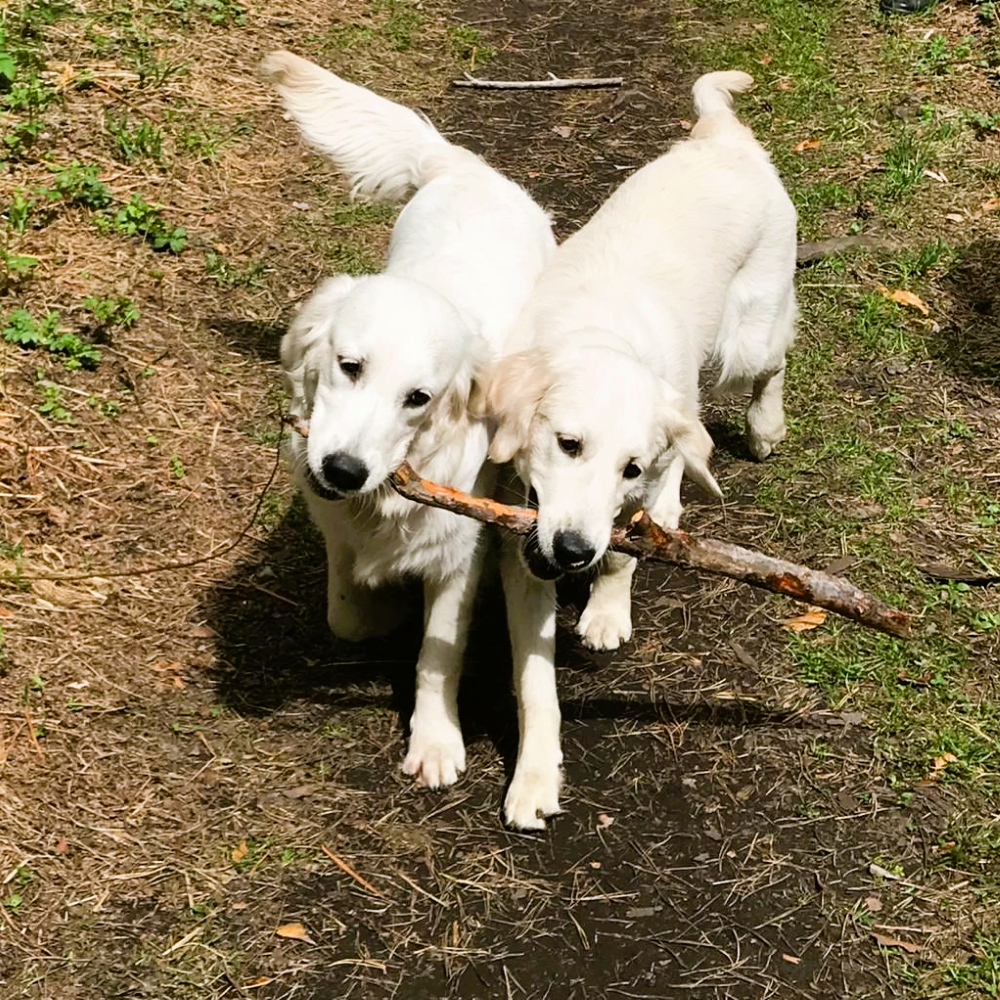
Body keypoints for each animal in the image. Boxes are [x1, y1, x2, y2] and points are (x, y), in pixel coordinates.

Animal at [260, 52, 556, 796]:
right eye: (349, 366)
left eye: (418, 398)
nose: (344, 469)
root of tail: (465, 168)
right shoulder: (332, 523)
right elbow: (342, 612)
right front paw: (379, 611)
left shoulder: (458, 555)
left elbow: (436, 655)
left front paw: (435, 739)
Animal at [474, 64, 796, 828]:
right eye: (566, 444)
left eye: (627, 467)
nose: (571, 553)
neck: (599, 332)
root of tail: (721, 134)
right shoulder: (521, 547)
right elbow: (536, 687)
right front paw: (535, 779)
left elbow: (625, 550)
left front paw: (606, 611)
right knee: (695, 432)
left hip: (744, 341)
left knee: (766, 369)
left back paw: (762, 429)